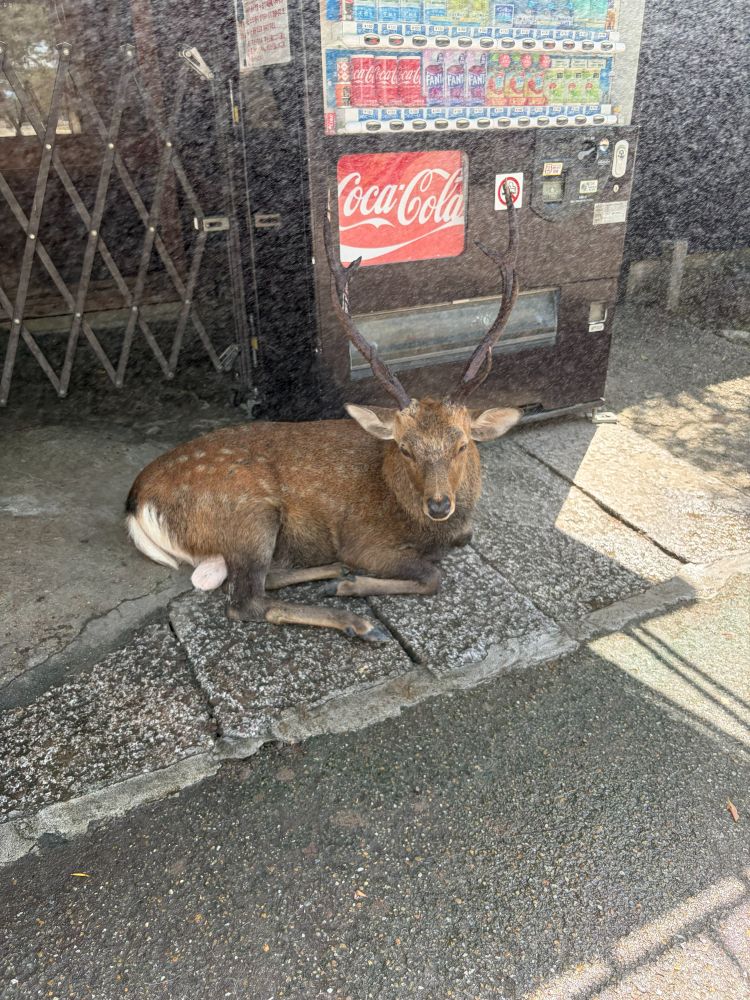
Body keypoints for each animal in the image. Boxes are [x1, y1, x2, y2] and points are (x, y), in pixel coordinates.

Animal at [126, 185, 521, 642]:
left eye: (462, 445)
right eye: (405, 448)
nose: (439, 505)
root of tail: (136, 502)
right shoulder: (366, 540)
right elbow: (431, 575)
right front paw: (356, 586)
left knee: (257, 579)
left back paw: (330, 571)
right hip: (247, 512)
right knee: (245, 599)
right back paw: (357, 618)